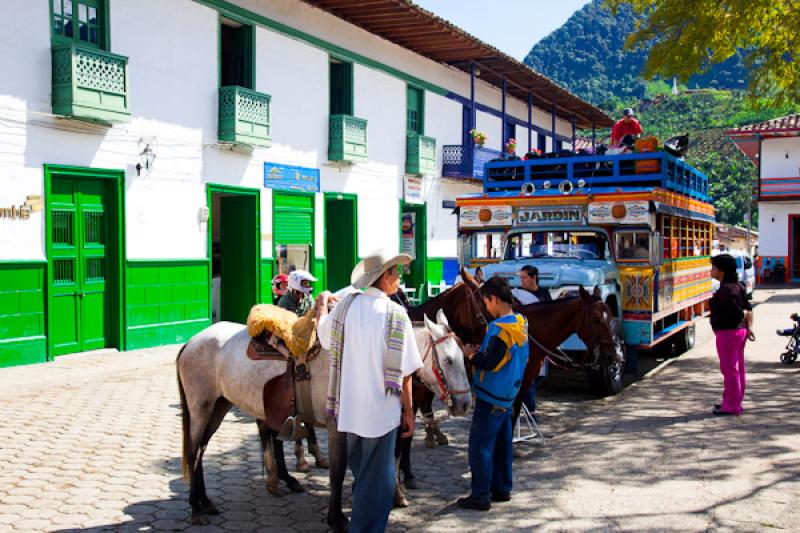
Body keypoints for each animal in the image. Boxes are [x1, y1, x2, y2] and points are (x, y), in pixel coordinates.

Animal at [176, 306, 472, 524]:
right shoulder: (338, 426)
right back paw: (196, 509)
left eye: (462, 356)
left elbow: (390, 459)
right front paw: (336, 517)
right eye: (448, 361)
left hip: (220, 405)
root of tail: (192, 341)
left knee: (203, 449)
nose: (465, 403)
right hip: (201, 407)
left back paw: (209, 501)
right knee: (193, 451)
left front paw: (393, 497)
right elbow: (339, 469)